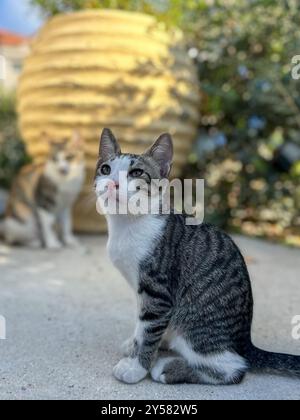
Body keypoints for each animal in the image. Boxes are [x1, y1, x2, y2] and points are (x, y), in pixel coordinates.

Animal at [94, 130, 300, 386]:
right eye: (105, 169)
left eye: (137, 173)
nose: (113, 183)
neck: (127, 224)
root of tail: (245, 342)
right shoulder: (144, 294)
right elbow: (142, 326)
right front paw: (134, 344)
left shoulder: (158, 293)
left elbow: (149, 330)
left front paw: (137, 367)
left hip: (196, 326)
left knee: (234, 368)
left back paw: (169, 368)